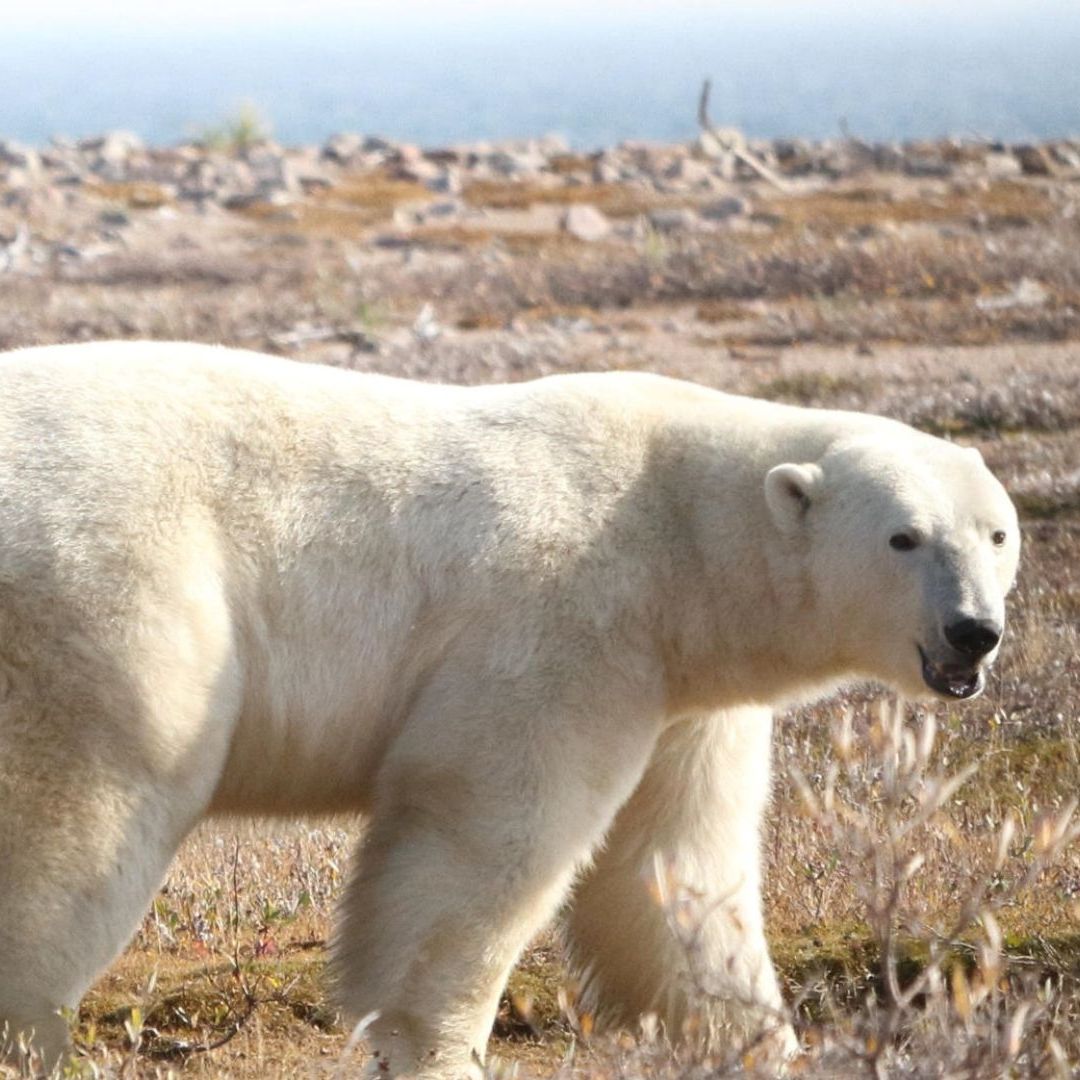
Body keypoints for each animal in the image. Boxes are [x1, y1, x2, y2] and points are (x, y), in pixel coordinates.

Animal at [0, 341, 1019, 1077]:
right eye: (904, 537)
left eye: (996, 533)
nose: (973, 631)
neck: (675, 530)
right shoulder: (566, 624)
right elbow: (489, 834)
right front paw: (438, 1049)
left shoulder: (686, 692)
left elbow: (671, 865)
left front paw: (758, 1042)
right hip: (113, 599)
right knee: (82, 813)